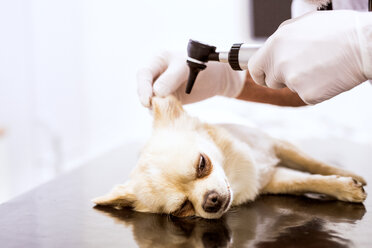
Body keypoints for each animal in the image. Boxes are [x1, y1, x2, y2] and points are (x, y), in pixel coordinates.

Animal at [93, 95, 366, 219]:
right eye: (183, 208)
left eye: (202, 164)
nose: (210, 201)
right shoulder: (272, 180)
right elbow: (304, 181)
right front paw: (344, 188)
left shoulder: (278, 145)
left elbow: (313, 164)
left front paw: (350, 177)